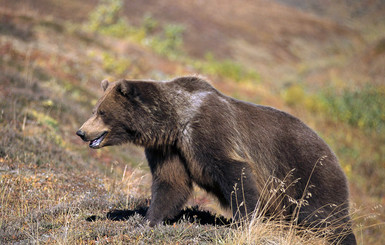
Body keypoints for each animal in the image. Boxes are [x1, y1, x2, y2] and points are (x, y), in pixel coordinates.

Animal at [76, 75, 356, 244]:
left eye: (102, 112)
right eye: (95, 109)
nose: (81, 132)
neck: (175, 121)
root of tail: (332, 152)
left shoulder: (209, 131)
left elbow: (235, 174)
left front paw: (245, 222)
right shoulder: (169, 149)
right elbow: (170, 184)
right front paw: (148, 220)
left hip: (307, 172)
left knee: (325, 216)